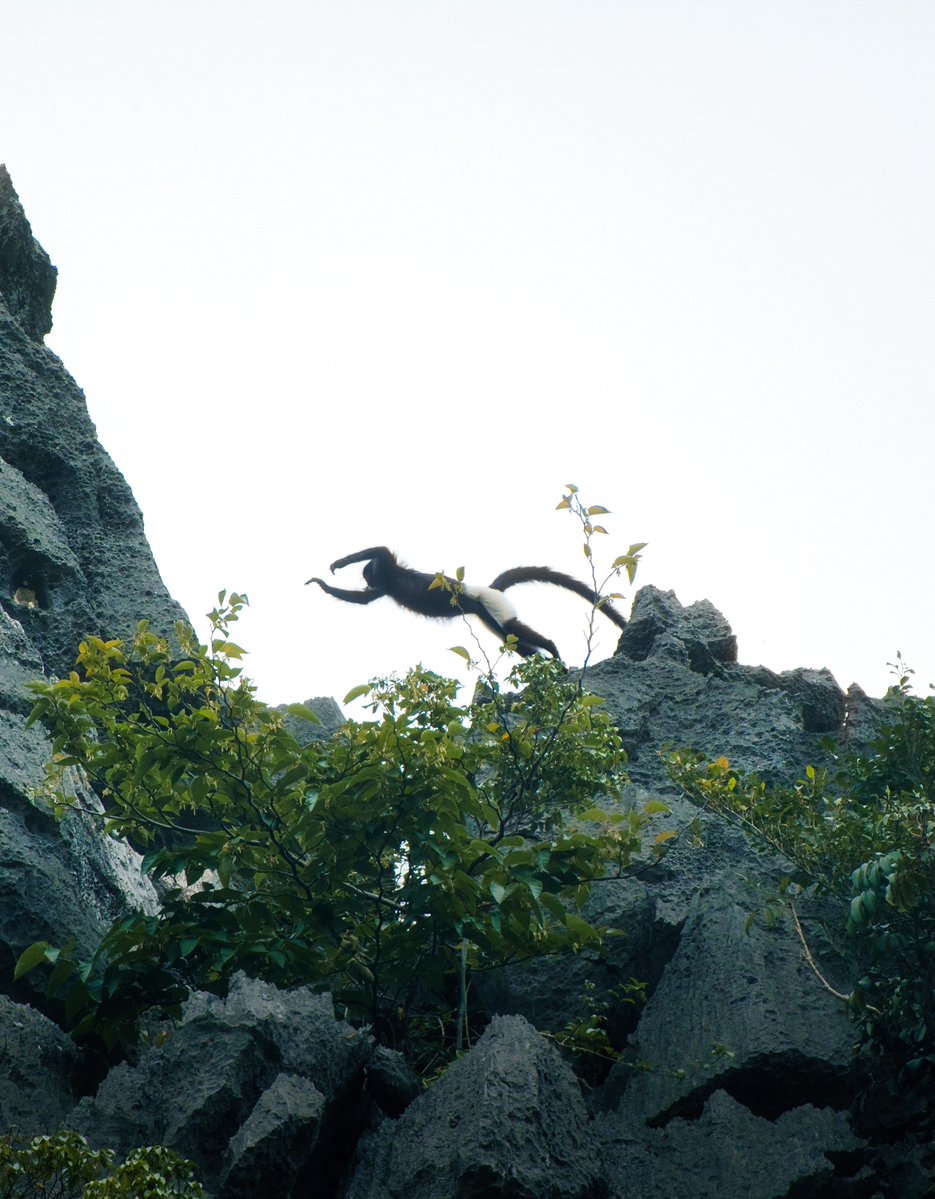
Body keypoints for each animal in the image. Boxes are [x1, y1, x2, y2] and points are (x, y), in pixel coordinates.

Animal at [306, 546, 628, 660]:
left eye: (367, 572)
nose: (367, 577)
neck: (390, 578)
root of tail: (486, 589)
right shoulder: (383, 586)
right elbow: (363, 599)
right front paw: (323, 585)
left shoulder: (388, 566)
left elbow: (378, 548)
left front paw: (338, 563)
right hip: (485, 612)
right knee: (509, 638)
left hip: (489, 603)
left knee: (511, 627)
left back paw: (552, 649)